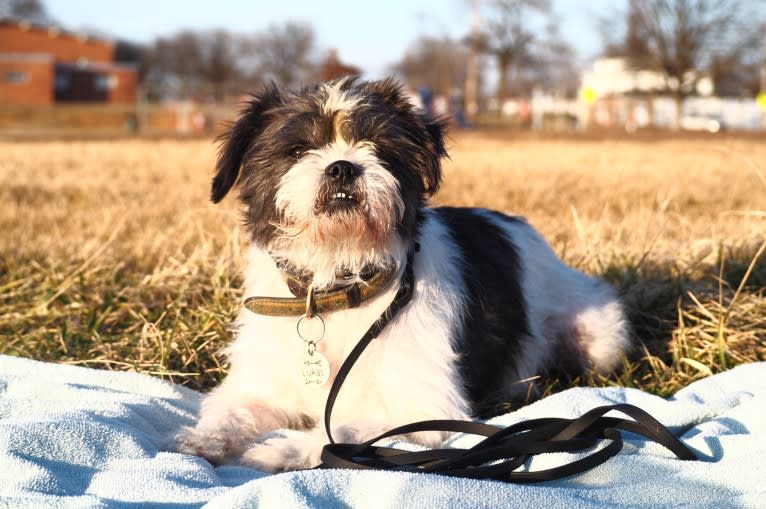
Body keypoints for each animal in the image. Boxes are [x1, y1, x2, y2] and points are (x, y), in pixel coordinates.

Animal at [177, 77, 632, 470]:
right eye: (296, 149)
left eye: (378, 147)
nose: (342, 167)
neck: (338, 283)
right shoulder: (259, 387)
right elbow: (230, 410)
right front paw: (204, 438)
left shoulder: (426, 409)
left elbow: (341, 432)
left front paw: (281, 450)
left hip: (600, 337)